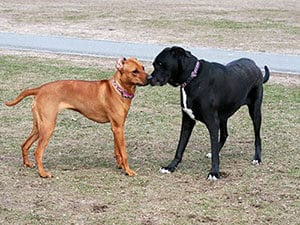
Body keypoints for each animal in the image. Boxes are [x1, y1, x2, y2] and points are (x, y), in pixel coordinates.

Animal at [4, 57, 149, 178]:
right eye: (134, 71)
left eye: (143, 67)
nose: (150, 78)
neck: (118, 89)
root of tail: (40, 89)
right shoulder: (118, 128)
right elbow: (124, 152)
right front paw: (128, 170)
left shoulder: (116, 127)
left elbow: (117, 150)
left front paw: (120, 165)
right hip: (48, 127)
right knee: (38, 152)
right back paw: (43, 173)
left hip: (39, 127)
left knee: (24, 144)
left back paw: (27, 164)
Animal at [149, 46, 270, 180]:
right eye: (154, 64)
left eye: (160, 64)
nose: (149, 79)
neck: (192, 78)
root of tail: (255, 65)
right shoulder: (187, 121)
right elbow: (180, 147)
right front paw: (171, 166)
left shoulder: (212, 122)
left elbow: (213, 147)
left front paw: (214, 172)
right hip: (223, 116)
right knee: (224, 134)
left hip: (255, 112)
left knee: (257, 137)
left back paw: (257, 158)